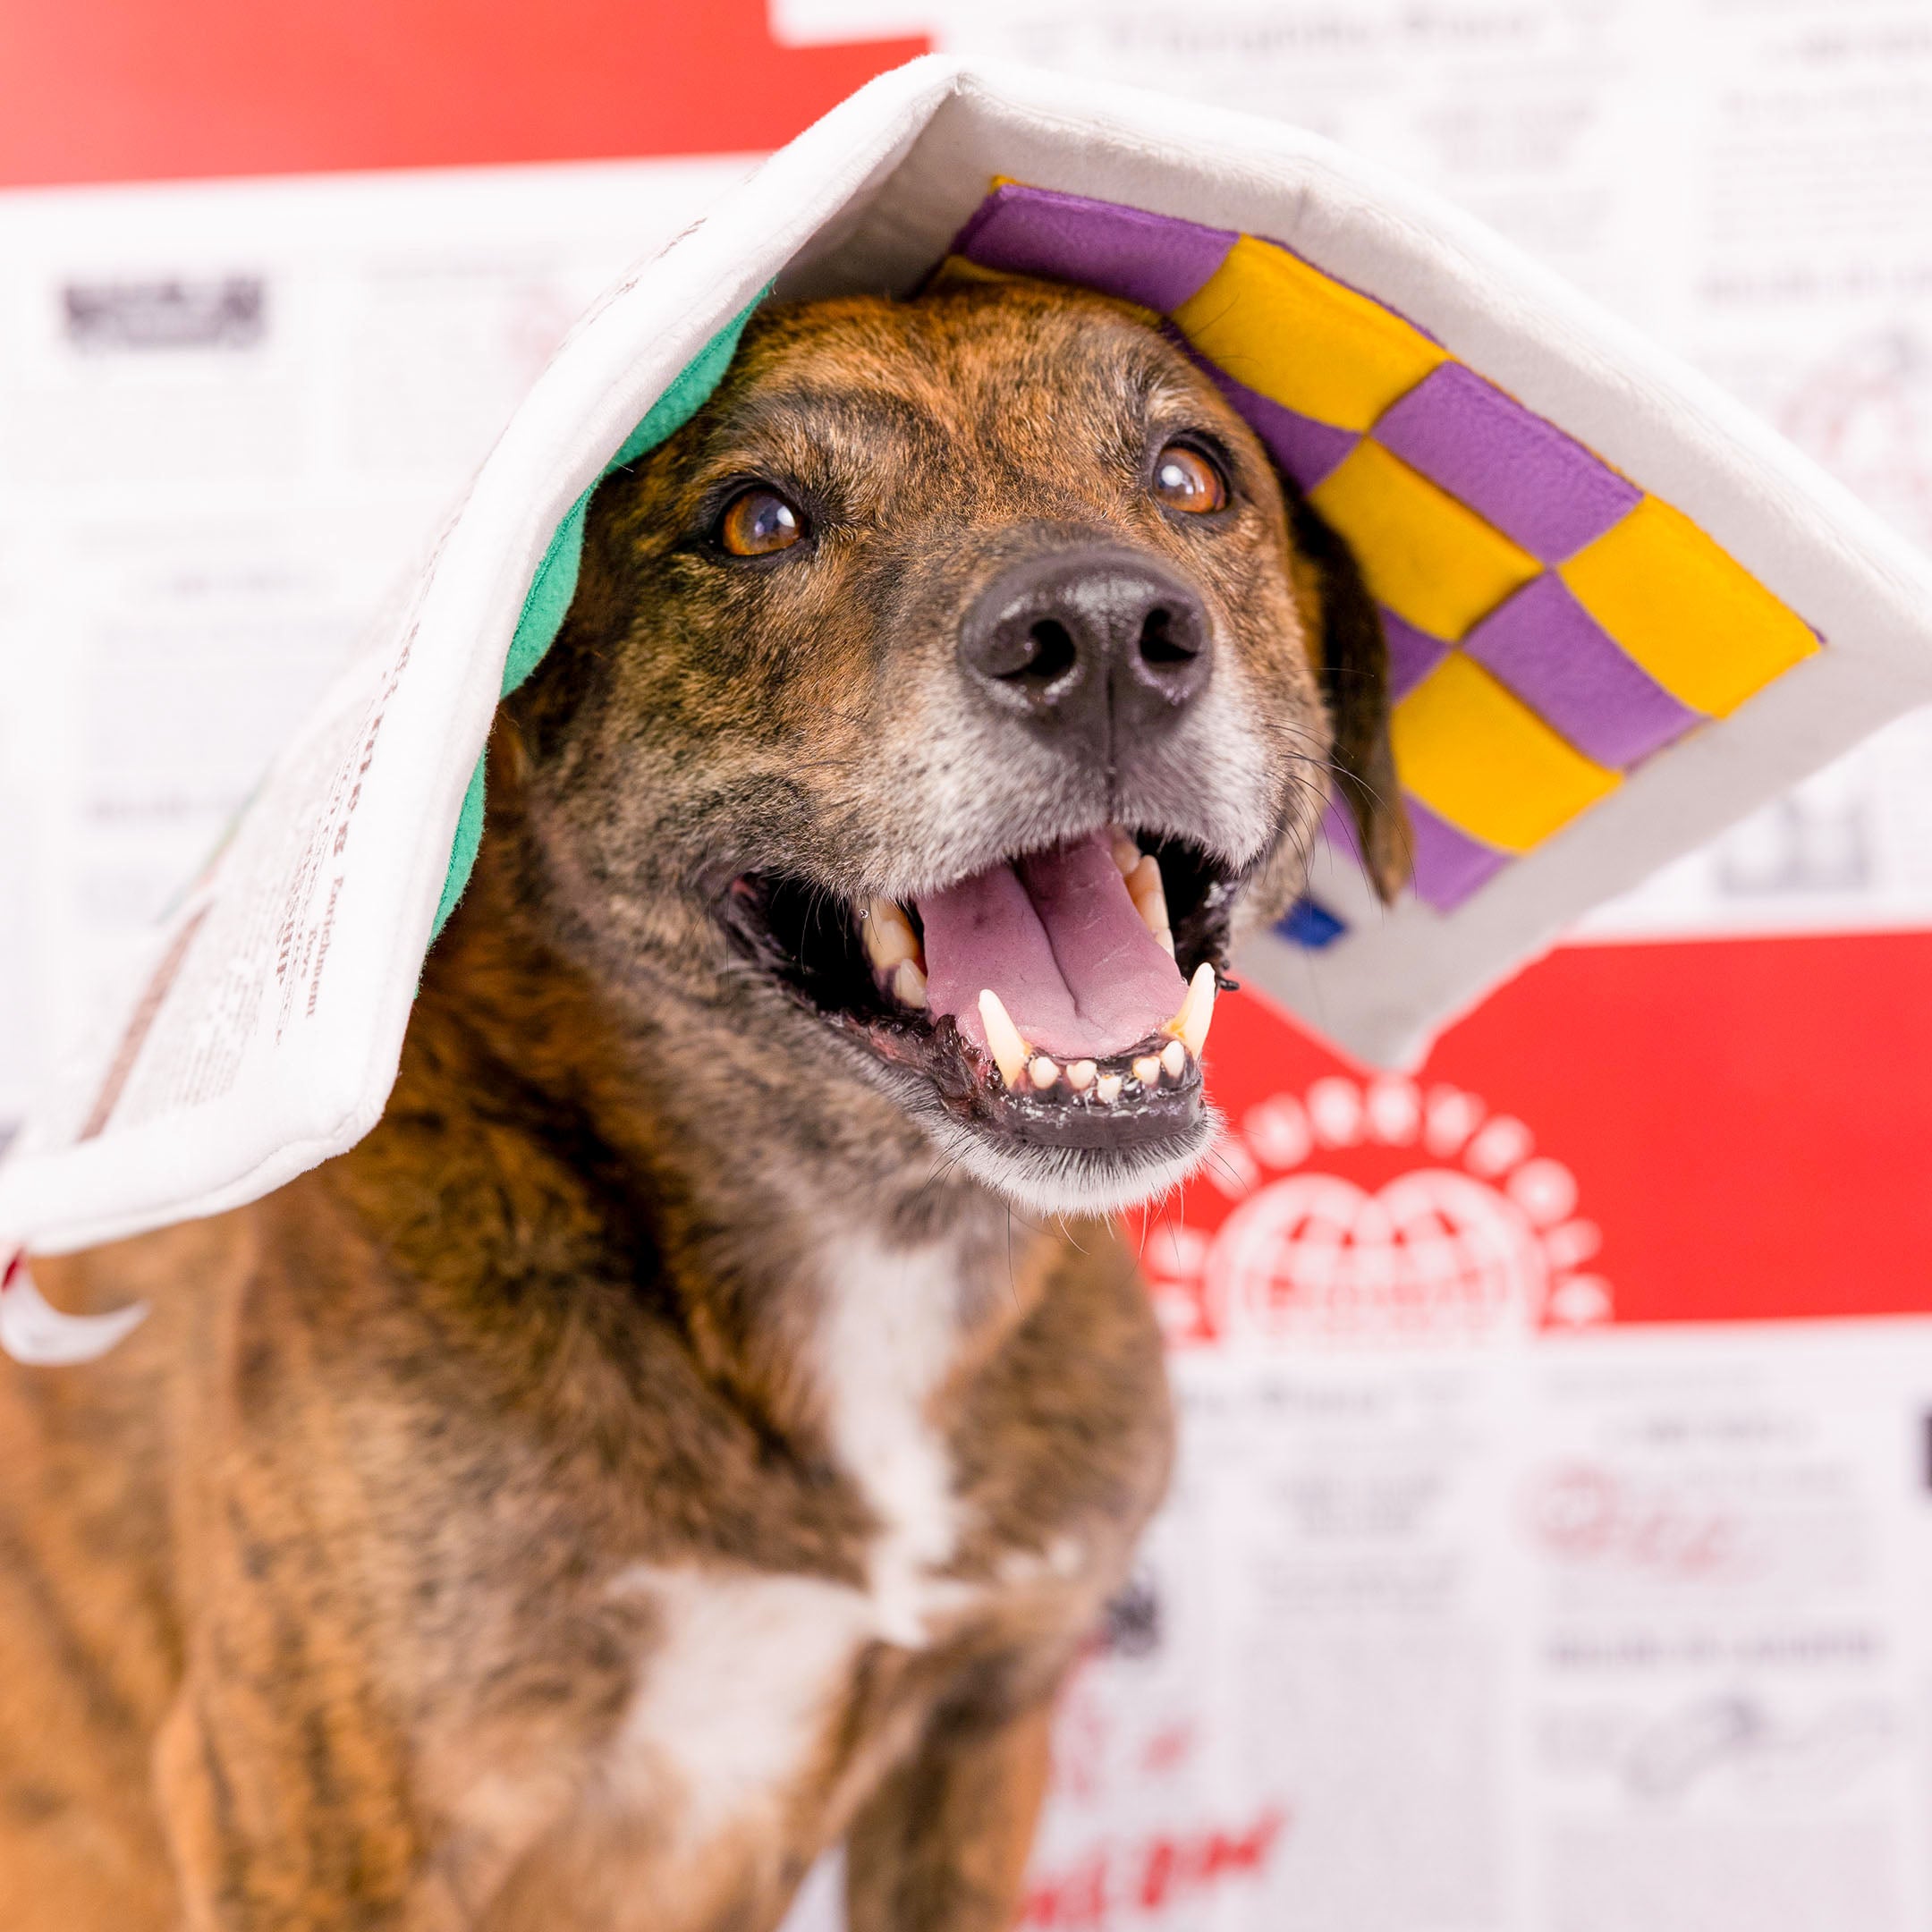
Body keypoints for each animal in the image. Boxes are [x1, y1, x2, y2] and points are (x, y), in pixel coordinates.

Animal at [7, 275, 1414, 1932]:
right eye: (754, 521)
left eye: (1192, 475)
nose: (1111, 634)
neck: (867, 1229)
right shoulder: (309, 1815)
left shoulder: (986, 1720)